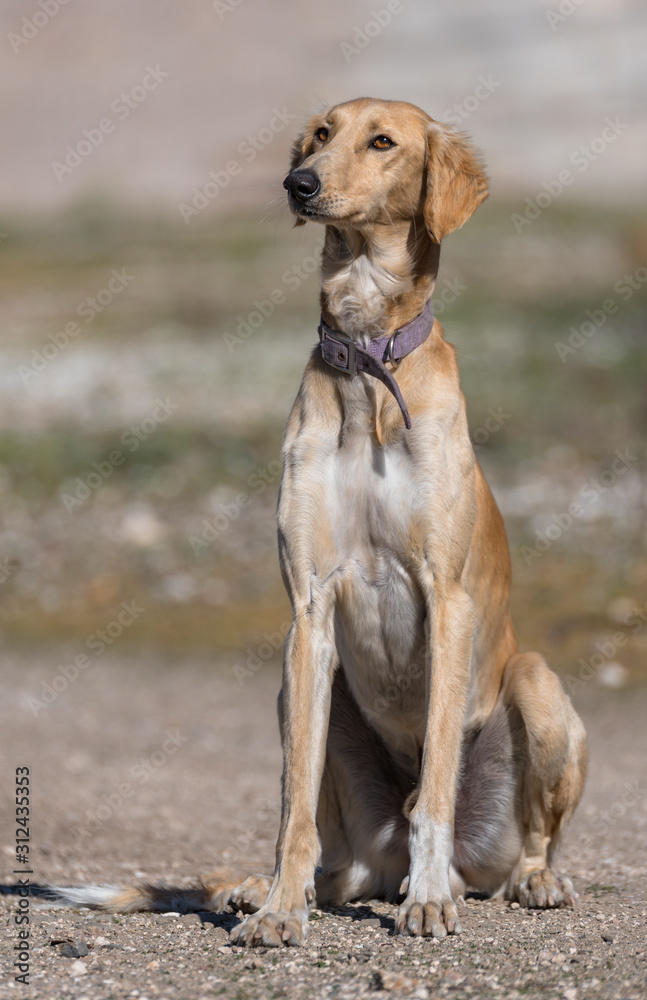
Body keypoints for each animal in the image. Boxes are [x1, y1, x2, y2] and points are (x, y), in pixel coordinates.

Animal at [8, 97, 588, 948]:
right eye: (319, 133)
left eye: (382, 141)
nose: (298, 183)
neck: (368, 364)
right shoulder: (308, 609)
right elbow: (291, 808)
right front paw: (281, 907)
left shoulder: (446, 601)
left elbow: (436, 789)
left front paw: (426, 904)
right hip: (306, 704)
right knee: (338, 853)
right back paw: (273, 890)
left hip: (538, 691)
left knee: (519, 834)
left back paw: (513, 880)